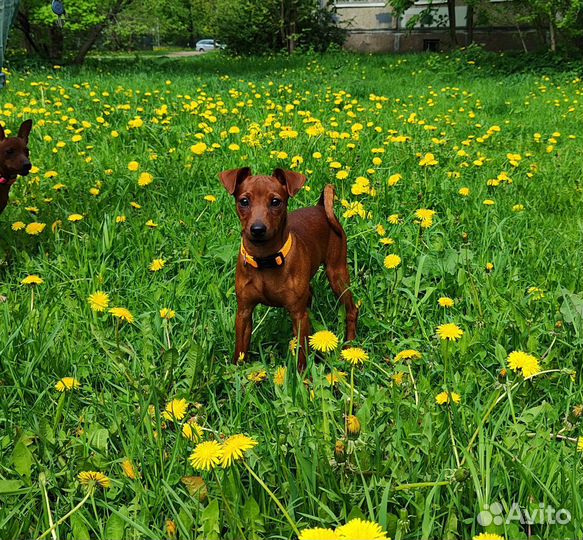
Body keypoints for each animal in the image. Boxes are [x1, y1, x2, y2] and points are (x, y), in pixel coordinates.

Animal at [219, 169, 356, 372]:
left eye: (276, 201)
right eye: (244, 201)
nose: (257, 229)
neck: (265, 260)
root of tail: (320, 207)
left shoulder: (298, 316)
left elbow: (301, 354)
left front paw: (302, 376)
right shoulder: (244, 312)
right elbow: (240, 350)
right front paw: (237, 372)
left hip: (337, 276)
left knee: (352, 309)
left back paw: (351, 345)